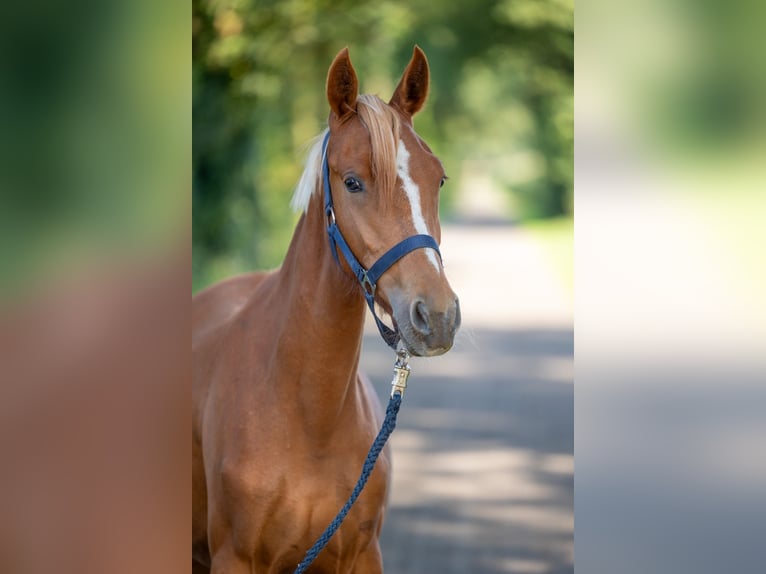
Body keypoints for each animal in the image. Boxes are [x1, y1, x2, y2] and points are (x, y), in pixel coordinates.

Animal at [195, 47, 462, 572]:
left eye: (438, 178)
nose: (437, 316)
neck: (308, 415)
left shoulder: (362, 555)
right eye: (353, 182)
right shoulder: (233, 558)